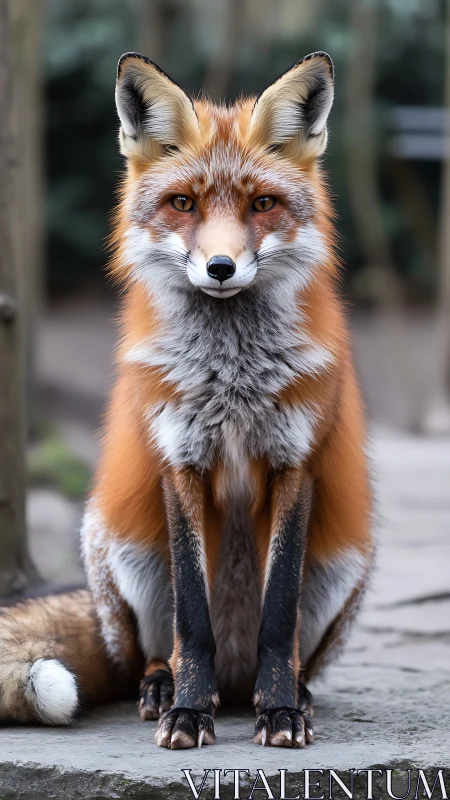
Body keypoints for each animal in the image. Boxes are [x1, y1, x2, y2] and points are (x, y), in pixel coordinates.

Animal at [0, 51, 373, 749]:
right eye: (183, 203)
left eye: (262, 204)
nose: (221, 267)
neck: (231, 377)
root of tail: (235, 679)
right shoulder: (181, 461)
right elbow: (192, 616)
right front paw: (189, 713)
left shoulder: (296, 463)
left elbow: (278, 616)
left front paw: (281, 711)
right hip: (122, 547)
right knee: (150, 653)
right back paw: (162, 688)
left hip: (345, 562)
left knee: (287, 649)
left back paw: (292, 693)